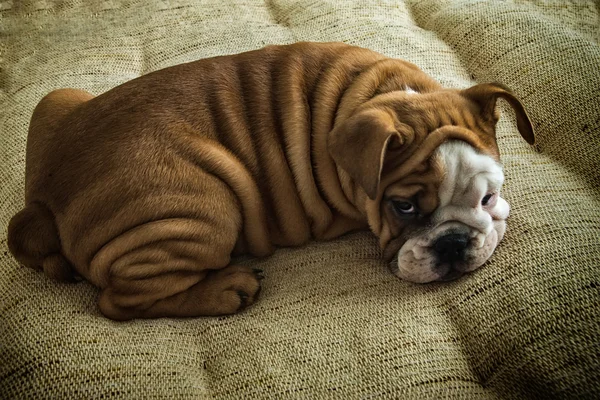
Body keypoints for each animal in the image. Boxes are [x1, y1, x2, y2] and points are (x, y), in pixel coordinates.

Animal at [7, 42, 536, 320]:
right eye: (402, 208)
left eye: (488, 197)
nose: (453, 243)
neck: (392, 97)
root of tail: (42, 206)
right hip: (207, 206)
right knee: (117, 301)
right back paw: (226, 289)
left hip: (57, 98)